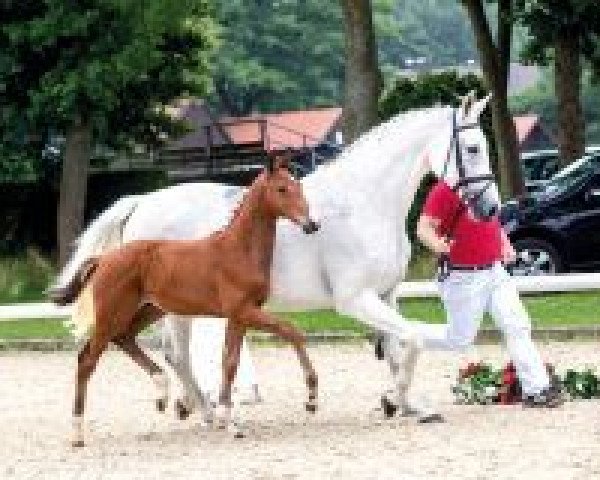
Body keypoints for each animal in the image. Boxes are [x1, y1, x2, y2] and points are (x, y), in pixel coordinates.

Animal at [49, 158, 322, 446]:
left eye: (298, 186)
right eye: (282, 189)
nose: (312, 224)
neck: (238, 250)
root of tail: (103, 259)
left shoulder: (241, 316)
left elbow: (231, 361)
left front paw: (229, 421)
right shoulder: (243, 311)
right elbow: (289, 332)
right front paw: (311, 400)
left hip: (149, 310)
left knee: (125, 338)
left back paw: (163, 393)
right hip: (112, 314)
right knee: (87, 361)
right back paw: (78, 434)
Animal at [56, 94, 496, 424]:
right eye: (473, 148)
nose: (490, 208)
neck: (363, 203)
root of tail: (141, 202)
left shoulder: (385, 295)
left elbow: (397, 349)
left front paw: (406, 405)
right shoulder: (356, 299)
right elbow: (414, 339)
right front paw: (394, 399)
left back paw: (193, 406)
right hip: (174, 306)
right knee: (174, 354)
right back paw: (206, 411)